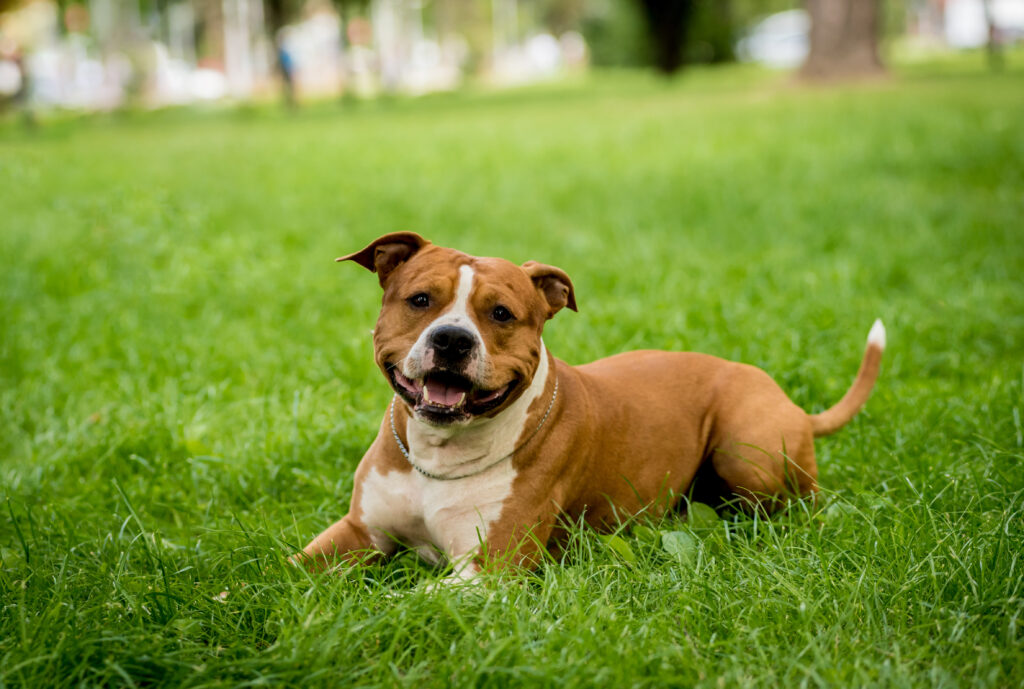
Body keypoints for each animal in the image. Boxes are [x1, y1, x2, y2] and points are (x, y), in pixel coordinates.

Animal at [294, 232, 880, 581]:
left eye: (501, 313)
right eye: (420, 300)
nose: (453, 340)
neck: (439, 452)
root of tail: (788, 400)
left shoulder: (488, 569)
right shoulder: (357, 532)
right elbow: (287, 570)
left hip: (747, 450)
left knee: (799, 503)